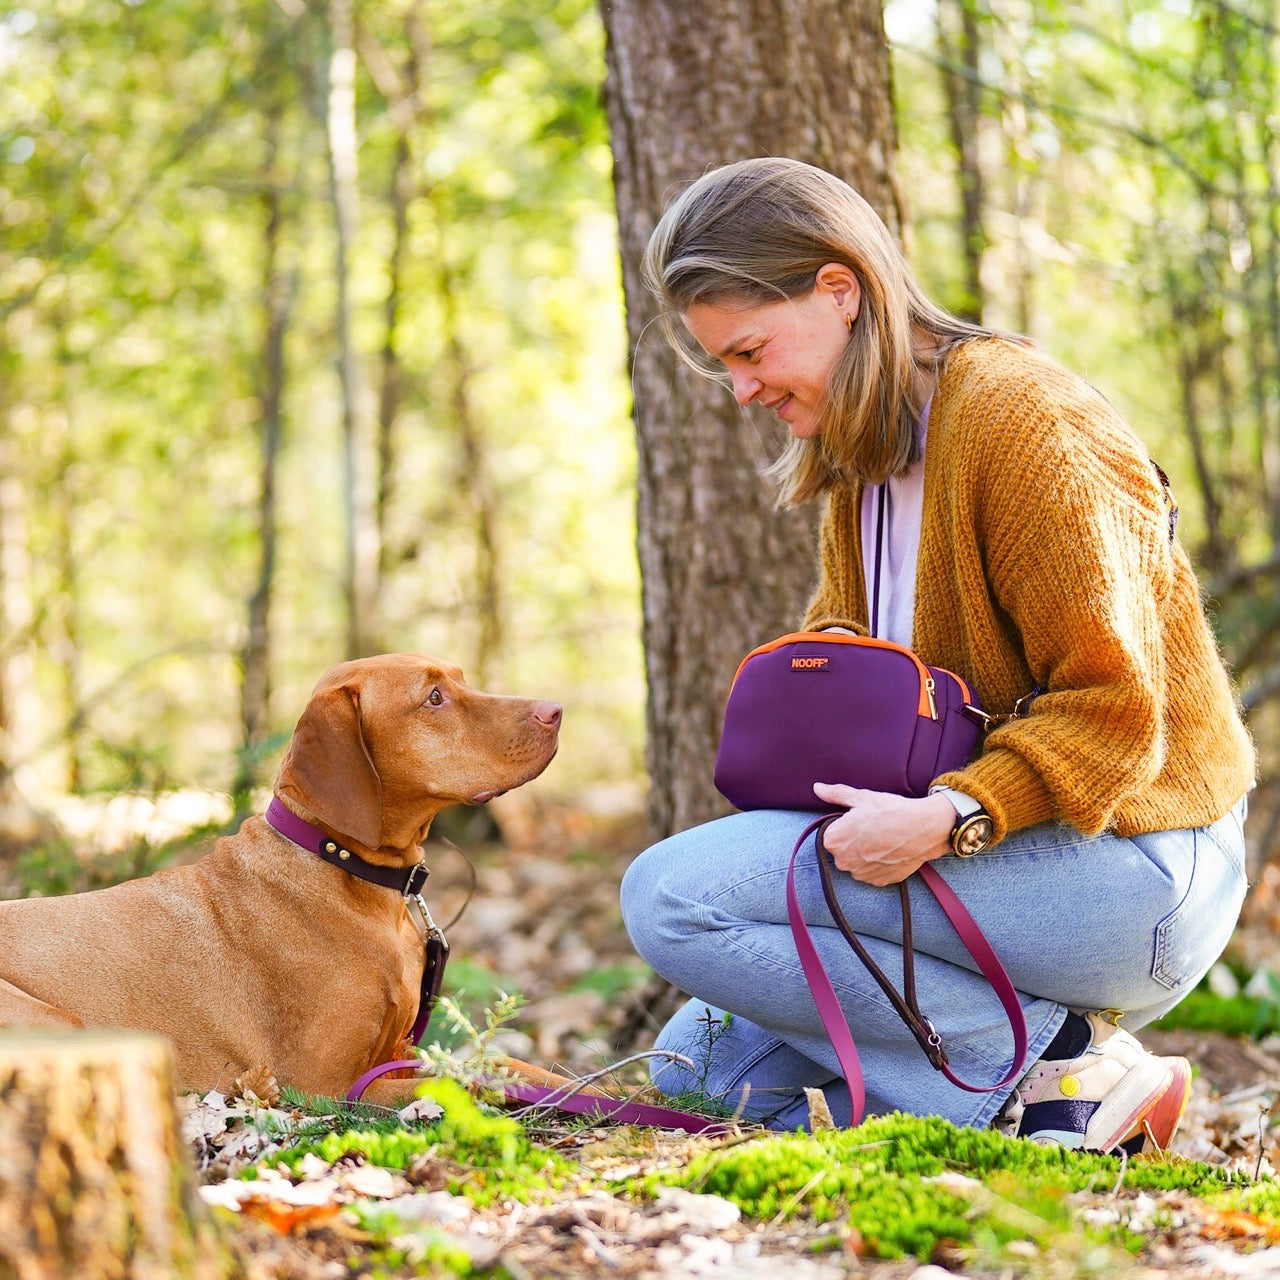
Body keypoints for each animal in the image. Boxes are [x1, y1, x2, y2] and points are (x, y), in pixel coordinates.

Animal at [0, 655, 565, 1105]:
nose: (555, 710)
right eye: (433, 697)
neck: (345, 872)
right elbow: (460, 1078)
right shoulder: (329, 1086)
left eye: (461, 680)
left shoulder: (395, 1053)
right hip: (60, 1023)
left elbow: (509, 1065)